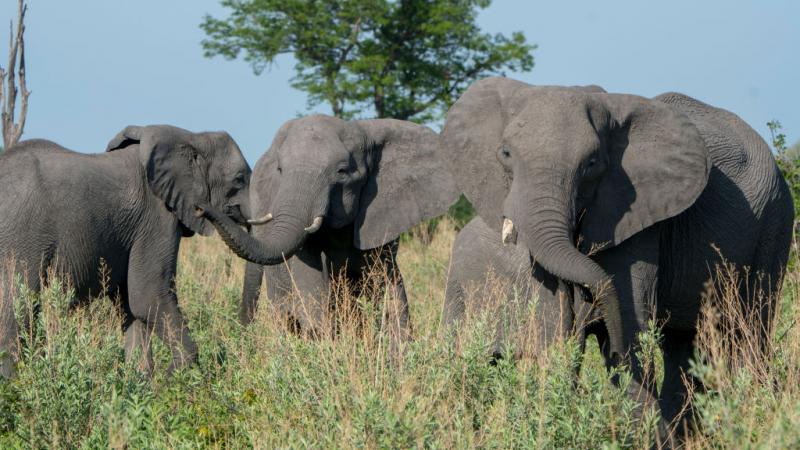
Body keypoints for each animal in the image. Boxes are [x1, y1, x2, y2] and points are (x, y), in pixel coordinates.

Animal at [0, 125, 252, 378]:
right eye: (239, 180)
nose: (206, 209)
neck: (190, 136)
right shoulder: (156, 218)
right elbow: (148, 296)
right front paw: (171, 379)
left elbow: (130, 306)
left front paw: (141, 381)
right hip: (21, 236)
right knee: (17, 304)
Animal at [440, 77, 793, 435]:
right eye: (506, 153)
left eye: (592, 163)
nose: (587, 302)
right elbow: (556, 318)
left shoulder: (639, 218)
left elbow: (631, 322)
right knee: (682, 344)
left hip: (774, 222)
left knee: (750, 332)